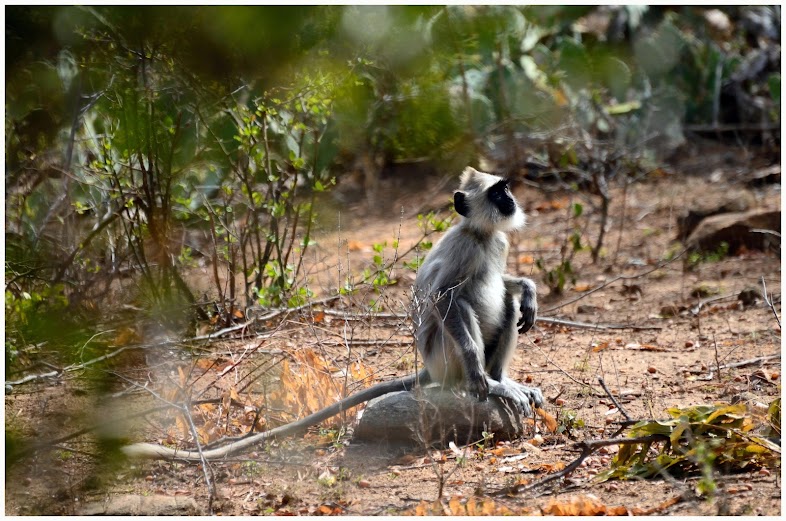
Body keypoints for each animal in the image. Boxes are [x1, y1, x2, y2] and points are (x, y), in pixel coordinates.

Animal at [122, 166, 540, 460]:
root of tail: (430, 369)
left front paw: (528, 288)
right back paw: (486, 382)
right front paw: (480, 377)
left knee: (506, 303)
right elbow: (441, 298)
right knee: (461, 308)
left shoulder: (498, 243)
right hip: (444, 360)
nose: (511, 198)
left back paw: (502, 376)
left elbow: (506, 286)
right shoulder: (461, 250)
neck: (481, 235)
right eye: (497, 192)